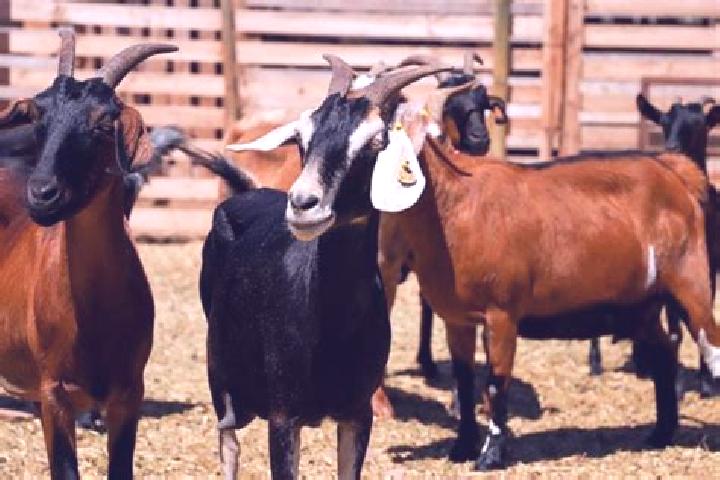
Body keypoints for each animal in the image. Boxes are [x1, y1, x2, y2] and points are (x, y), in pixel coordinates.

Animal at [203, 57, 451, 479]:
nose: (303, 204)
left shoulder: (357, 413)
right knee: (229, 444)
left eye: (376, 142)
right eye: (302, 140)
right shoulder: (283, 417)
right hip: (220, 375)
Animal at [588, 95, 720, 397]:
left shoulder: (710, 270)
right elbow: (676, 330)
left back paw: (642, 362)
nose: (671, 149)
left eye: (700, 126)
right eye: (664, 123)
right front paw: (678, 384)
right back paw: (598, 364)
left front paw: (707, 383)